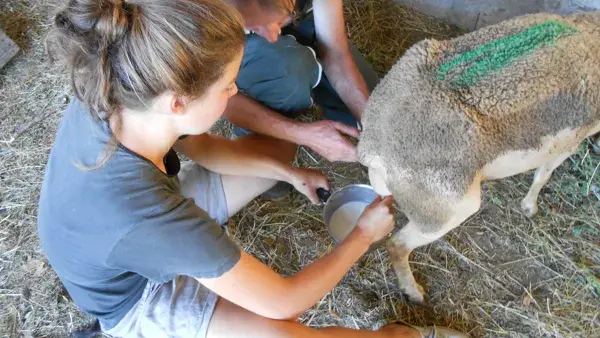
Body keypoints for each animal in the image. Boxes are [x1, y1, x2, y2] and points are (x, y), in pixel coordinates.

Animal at [356, 11, 600, 304]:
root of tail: (373, 145)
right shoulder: (568, 143)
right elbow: (543, 175)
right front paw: (529, 207)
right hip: (448, 212)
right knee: (397, 244)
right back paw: (414, 292)